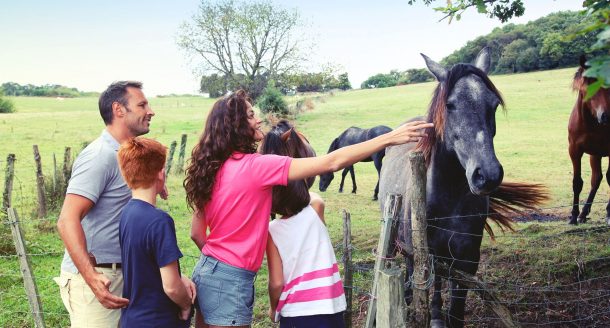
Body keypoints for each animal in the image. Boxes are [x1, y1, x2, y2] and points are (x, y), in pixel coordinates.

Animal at [380, 46, 548, 328]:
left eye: (493, 104)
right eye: (450, 105)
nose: (487, 175)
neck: (448, 199)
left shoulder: (466, 261)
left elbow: (456, 311)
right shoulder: (426, 257)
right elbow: (430, 290)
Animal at [564, 55, 608, 226]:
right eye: (588, 87)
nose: (605, 115)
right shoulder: (575, 150)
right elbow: (577, 182)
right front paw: (574, 216)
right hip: (595, 155)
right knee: (596, 179)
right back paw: (583, 214)